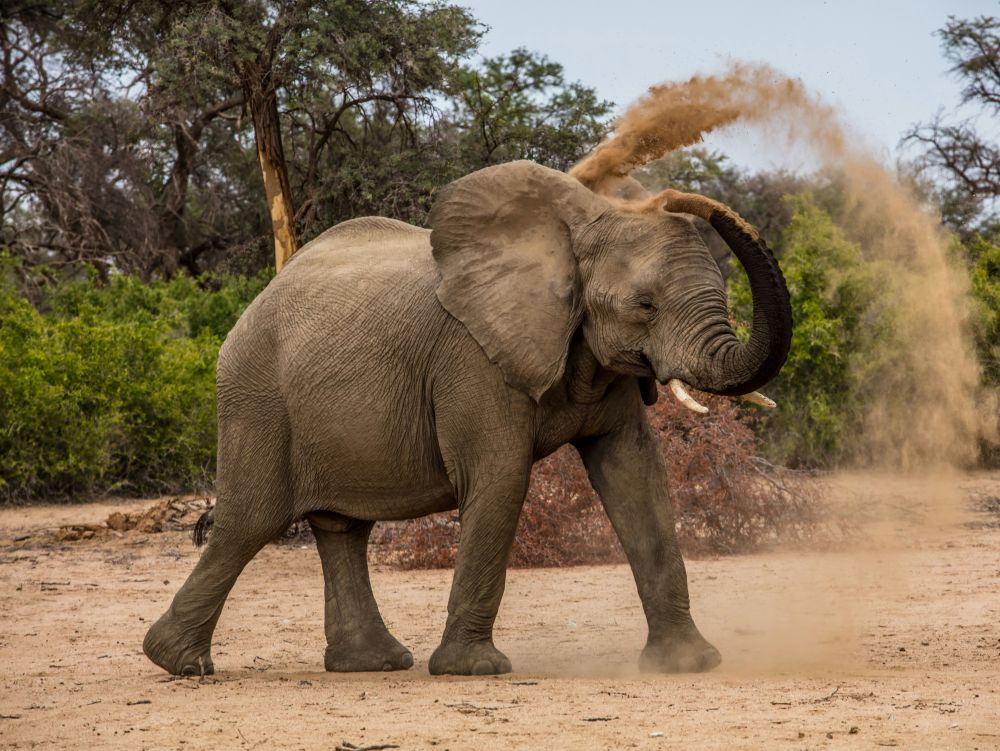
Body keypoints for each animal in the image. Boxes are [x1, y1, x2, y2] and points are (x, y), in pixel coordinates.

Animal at [142, 160, 792, 677]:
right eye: (645, 306)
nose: (675, 197)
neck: (575, 229)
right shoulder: (473, 359)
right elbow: (501, 477)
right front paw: (475, 670)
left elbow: (636, 476)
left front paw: (690, 664)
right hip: (256, 397)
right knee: (249, 522)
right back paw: (179, 664)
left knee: (341, 529)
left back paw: (373, 664)